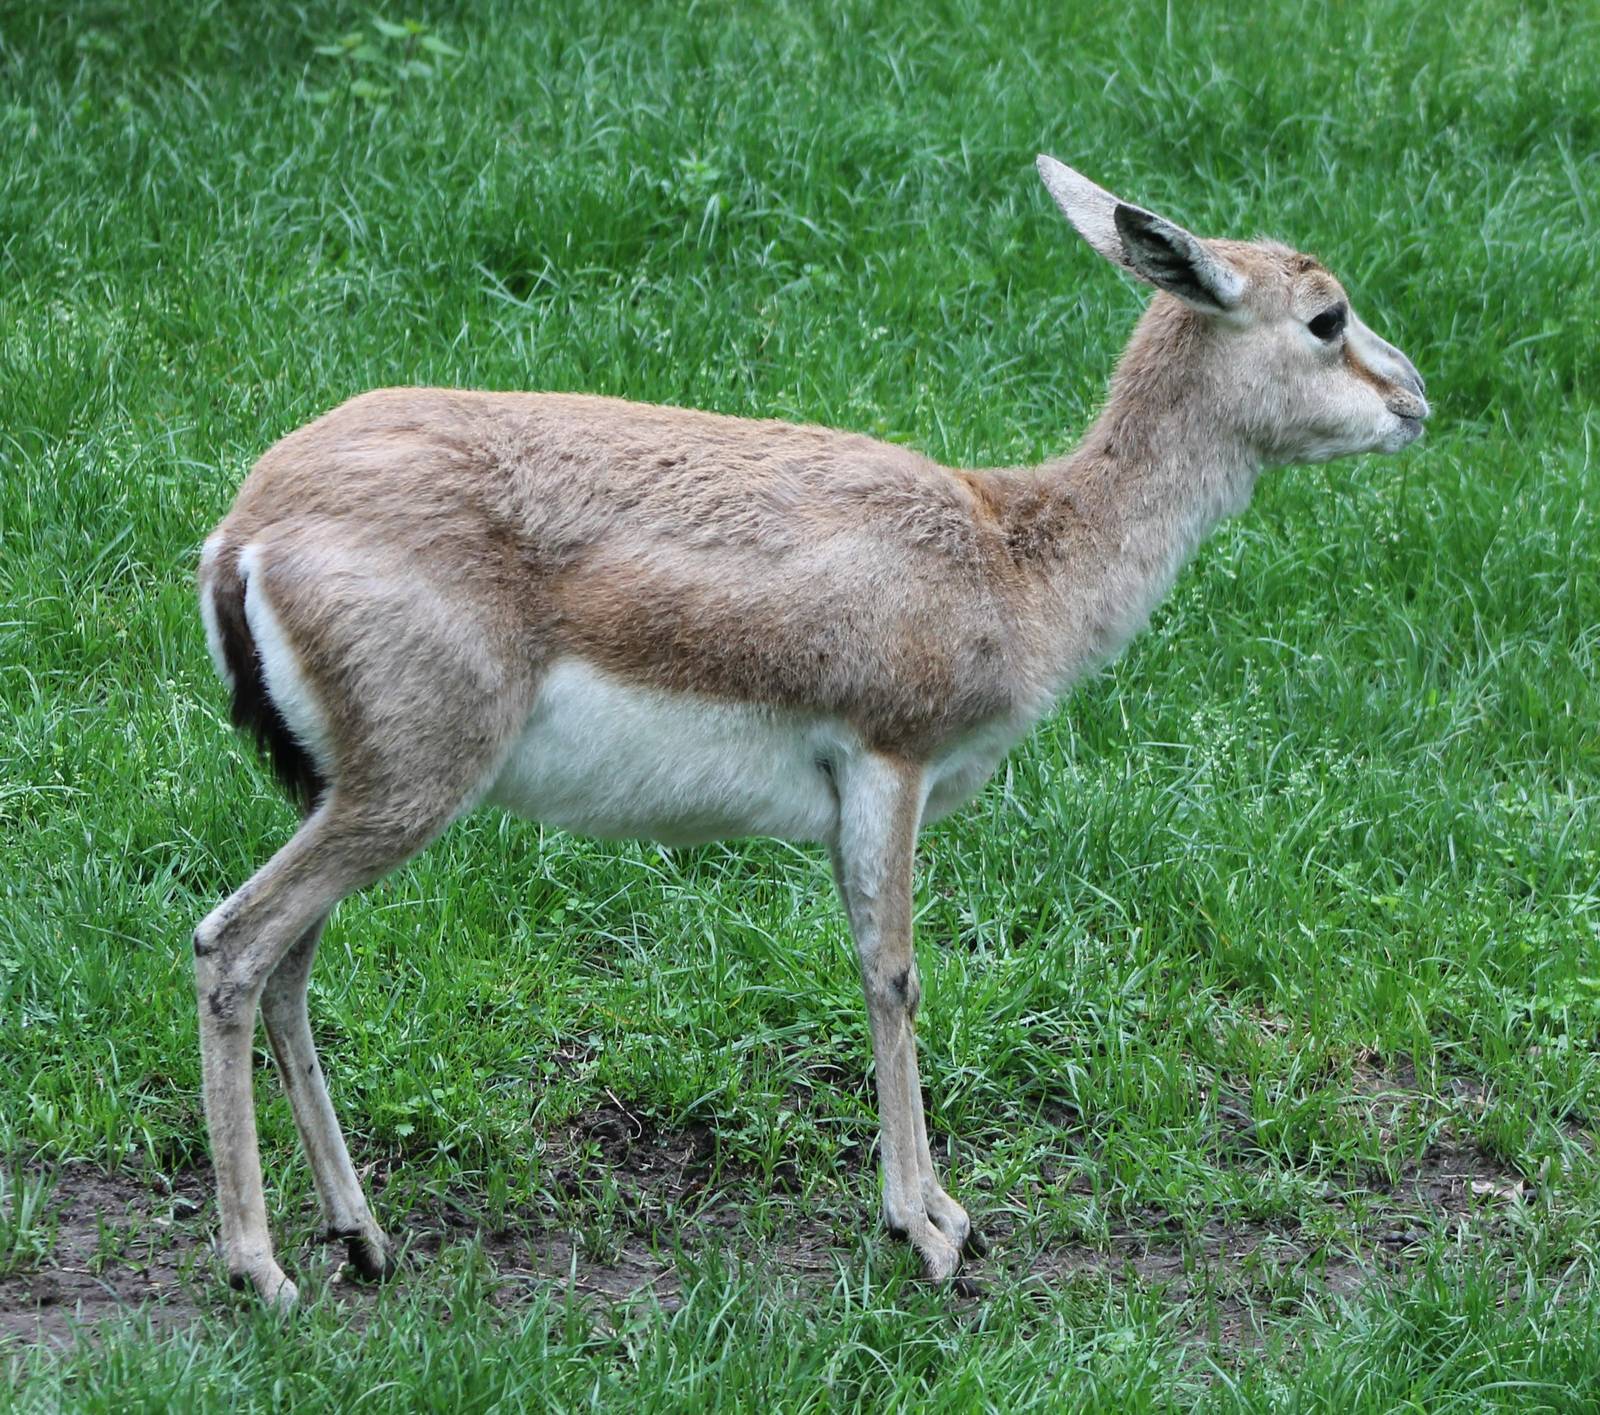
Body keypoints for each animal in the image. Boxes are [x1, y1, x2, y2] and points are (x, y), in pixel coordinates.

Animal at [193, 156, 1429, 1306]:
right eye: (1326, 316)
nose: (1416, 398)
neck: (1010, 557)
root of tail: (245, 530)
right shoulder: (889, 765)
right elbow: (894, 974)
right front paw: (926, 1227)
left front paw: (942, 1212)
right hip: (406, 790)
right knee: (230, 946)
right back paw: (261, 1268)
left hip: (348, 794)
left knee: (289, 966)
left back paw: (361, 1236)